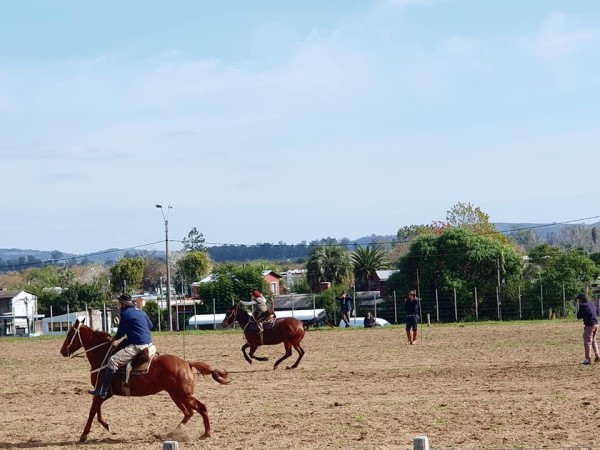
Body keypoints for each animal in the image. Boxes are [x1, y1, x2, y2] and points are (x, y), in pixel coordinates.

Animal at [60, 320, 230, 442]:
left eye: (69, 333)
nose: (62, 351)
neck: (102, 355)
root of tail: (187, 363)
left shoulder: (102, 391)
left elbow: (92, 412)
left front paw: (84, 435)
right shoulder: (104, 392)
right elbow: (97, 411)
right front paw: (106, 424)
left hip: (183, 395)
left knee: (201, 408)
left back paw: (206, 433)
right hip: (176, 395)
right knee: (189, 412)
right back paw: (172, 433)